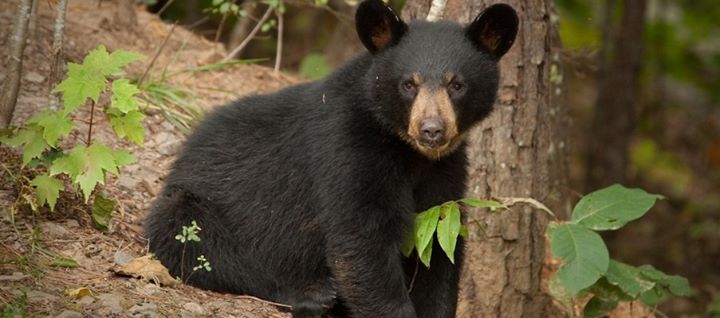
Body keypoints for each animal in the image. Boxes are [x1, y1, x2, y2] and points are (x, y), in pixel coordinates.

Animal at [145, 1, 516, 316]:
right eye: (409, 84)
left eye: (457, 85)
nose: (432, 130)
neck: (409, 152)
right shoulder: (347, 148)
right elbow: (360, 241)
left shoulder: (445, 171)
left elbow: (438, 249)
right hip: (194, 206)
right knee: (198, 244)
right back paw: (312, 294)